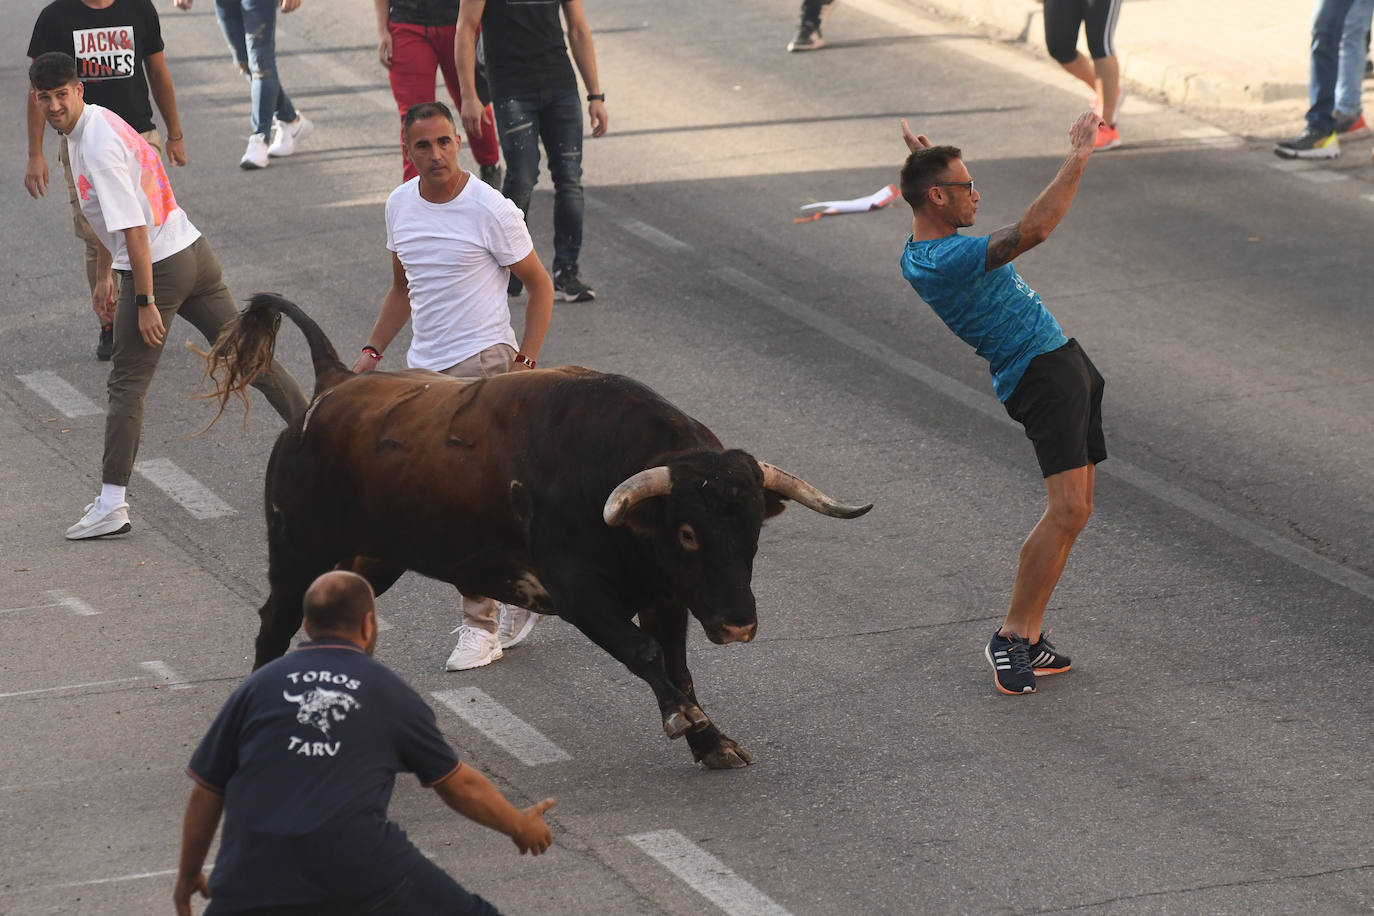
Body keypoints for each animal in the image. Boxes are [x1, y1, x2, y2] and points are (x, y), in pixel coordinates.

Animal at [203, 293, 868, 769]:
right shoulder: (580, 593)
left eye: (754, 526)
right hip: (300, 550)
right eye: (687, 533)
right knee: (274, 621)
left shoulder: (664, 595)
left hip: (371, 558)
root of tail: (334, 383)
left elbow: (677, 665)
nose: (738, 625)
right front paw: (686, 720)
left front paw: (712, 741)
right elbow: (645, 653)